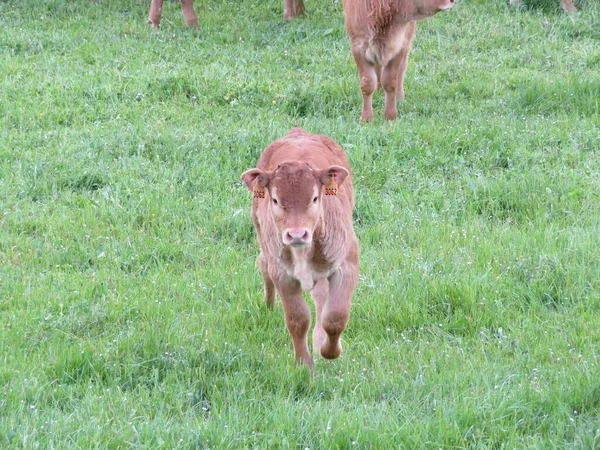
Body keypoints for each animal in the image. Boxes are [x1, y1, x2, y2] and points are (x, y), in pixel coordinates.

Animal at [240, 126, 360, 370]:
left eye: (314, 198)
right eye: (275, 200)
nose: (296, 234)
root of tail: (298, 131)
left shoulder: (347, 264)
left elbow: (335, 316)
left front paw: (329, 351)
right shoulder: (282, 274)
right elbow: (298, 319)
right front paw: (304, 364)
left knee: (322, 298)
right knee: (263, 263)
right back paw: (269, 306)